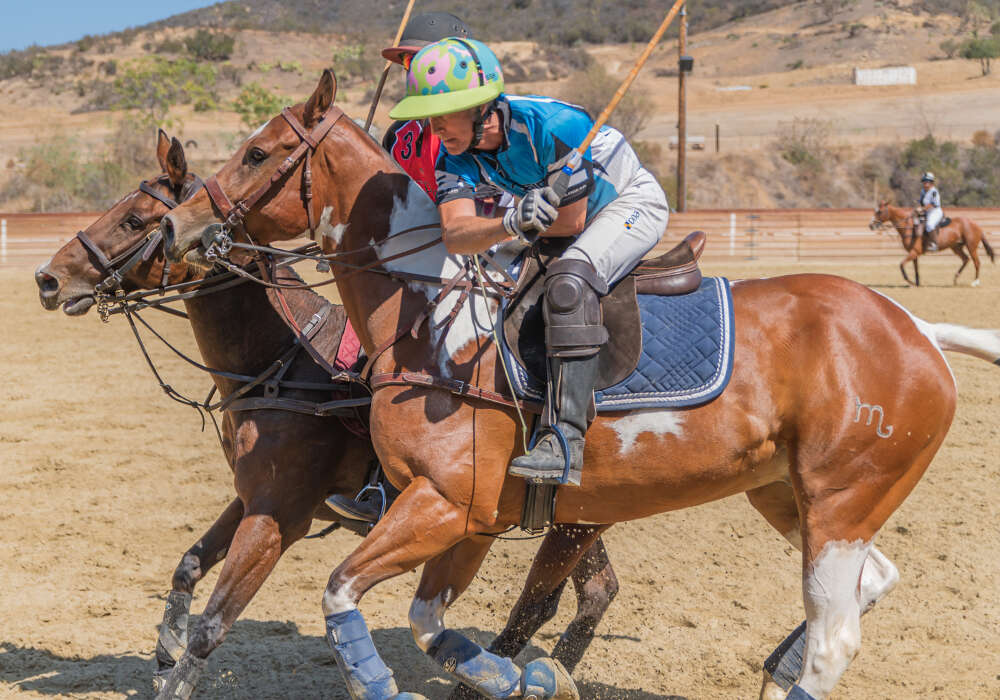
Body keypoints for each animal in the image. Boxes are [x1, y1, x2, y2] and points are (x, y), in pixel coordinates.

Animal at [35, 131, 620, 700]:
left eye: (137, 220)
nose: (47, 278)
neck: (279, 361)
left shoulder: (282, 512)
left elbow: (214, 622)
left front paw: (173, 670)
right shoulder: (254, 496)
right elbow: (189, 565)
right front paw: (161, 657)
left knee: (554, 598)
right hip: (566, 512)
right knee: (596, 590)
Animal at [160, 71, 1000, 700]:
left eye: (257, 152)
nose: (177, 227)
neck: (428, 316)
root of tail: (919, 330)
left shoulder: (443, 502)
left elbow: (341, 592)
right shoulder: (473, 517)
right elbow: (434, 623)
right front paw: (529, 678)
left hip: (841, 497)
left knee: (836, 639)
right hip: (790, 493)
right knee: (872, 581)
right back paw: (775, 669)